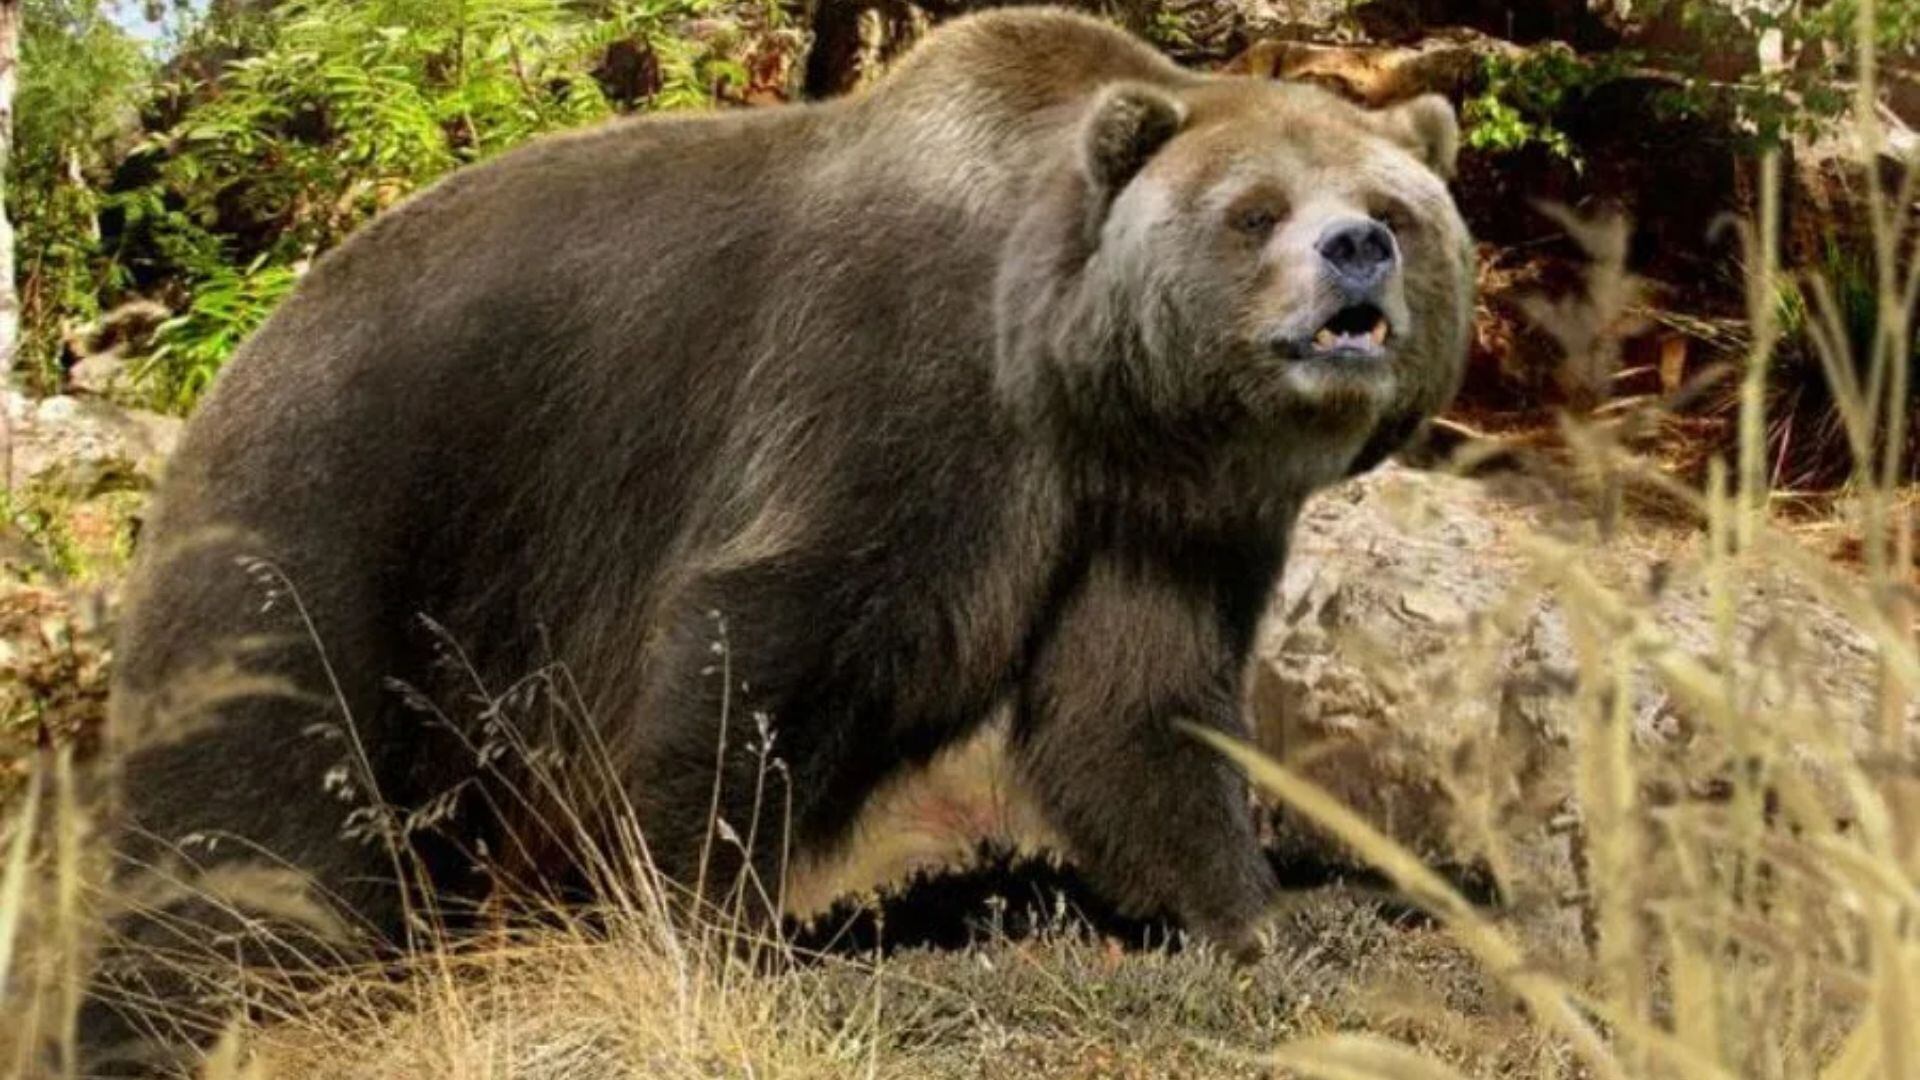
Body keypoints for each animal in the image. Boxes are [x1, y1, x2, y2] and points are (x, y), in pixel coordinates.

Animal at [77, 7, 1472, 1071]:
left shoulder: (1157, 518)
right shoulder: (884, 392)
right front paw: (710, 935)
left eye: (1396, 206)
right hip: (342, 528)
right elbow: (764, 646)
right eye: (1255, 211)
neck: (1071, 389)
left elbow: (1136, 710)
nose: (1357, 252)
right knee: (250, 826)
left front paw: (1259, 919)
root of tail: (229, 367)